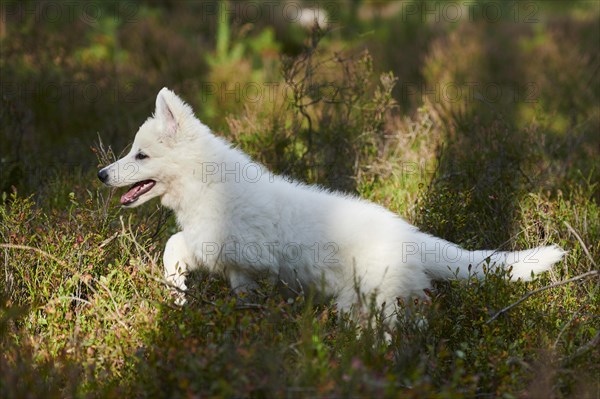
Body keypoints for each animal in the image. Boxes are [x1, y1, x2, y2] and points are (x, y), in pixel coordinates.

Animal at [99, 89, 568, 320]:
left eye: (140, 156)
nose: (102, 174)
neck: (206, 184)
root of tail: (413, 237)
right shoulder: (216, 249)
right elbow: (174, 246)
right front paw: (176, 292)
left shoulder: (241, 255)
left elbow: (189, 251)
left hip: (374, 301)